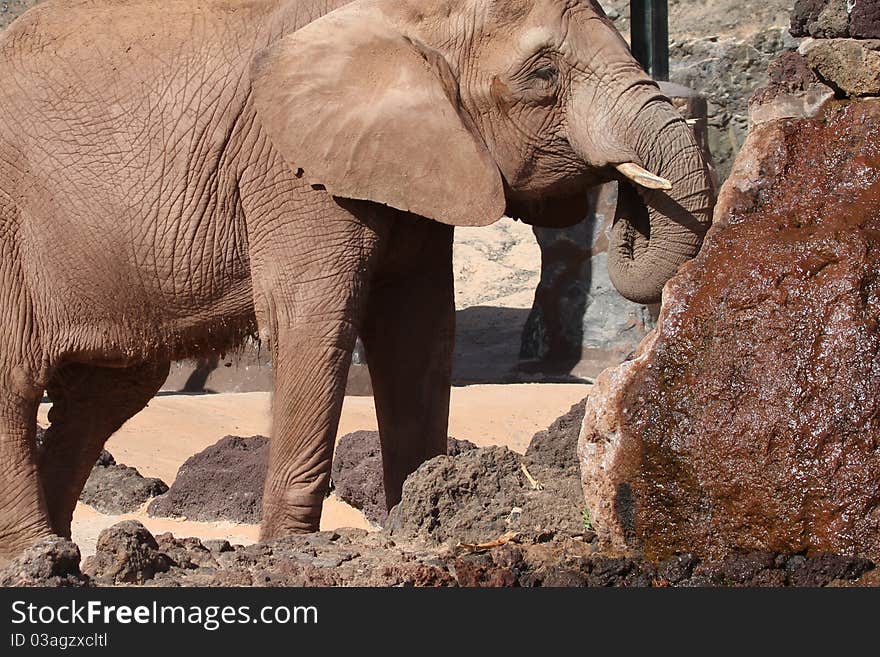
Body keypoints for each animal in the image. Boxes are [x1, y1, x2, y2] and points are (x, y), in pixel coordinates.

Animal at [0, 0, 716, 560]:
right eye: (543, 74)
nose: (628, 204)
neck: (407, 18)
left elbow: (418, 331)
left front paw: (427, 517)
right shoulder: (291, 167)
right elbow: (316, 320)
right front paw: (290, 552)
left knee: (106, 394)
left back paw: (58, 552)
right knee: (17, 385)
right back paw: (39, 559)